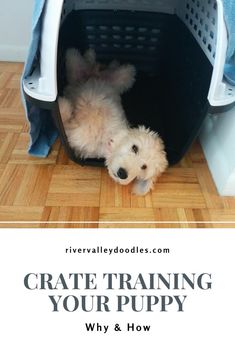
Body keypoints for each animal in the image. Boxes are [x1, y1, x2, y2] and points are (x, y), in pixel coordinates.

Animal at [59, 48, 168, 194]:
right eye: (134, 148)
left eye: (144, 167)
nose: (122, 173)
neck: (107, 138)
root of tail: (95, 74)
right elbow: (67, 111)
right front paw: (60, 105)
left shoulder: (73, 133)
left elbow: (67, 118)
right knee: (79, 61)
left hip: (119, 79)